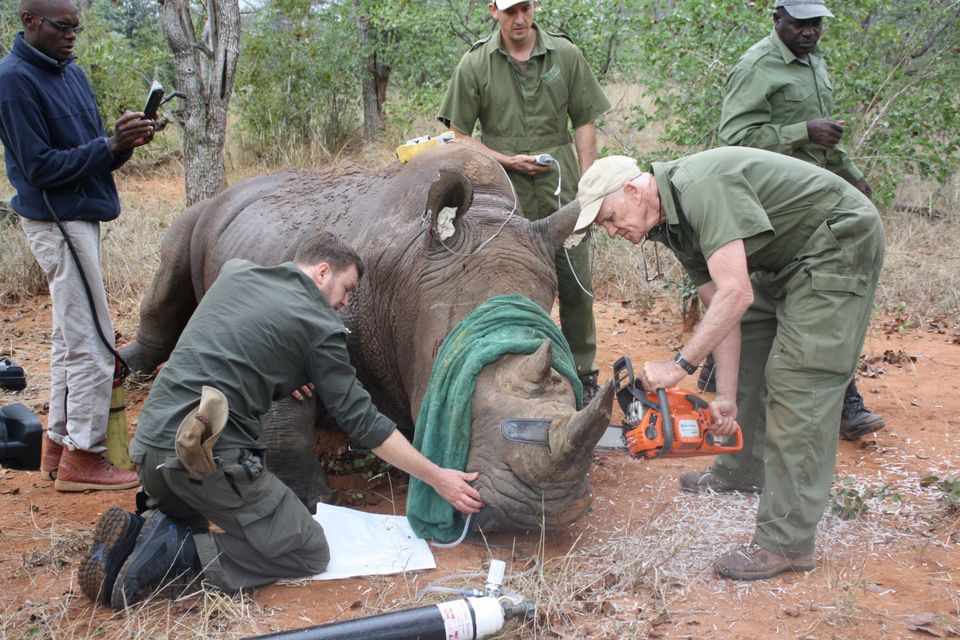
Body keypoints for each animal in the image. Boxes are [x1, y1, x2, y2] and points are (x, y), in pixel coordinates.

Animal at [122, 146, 616, 536]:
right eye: (451, 377)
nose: (541, 513)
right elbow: (283, 393)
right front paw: (309, 502)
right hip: (205, 215)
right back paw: (130, 366)